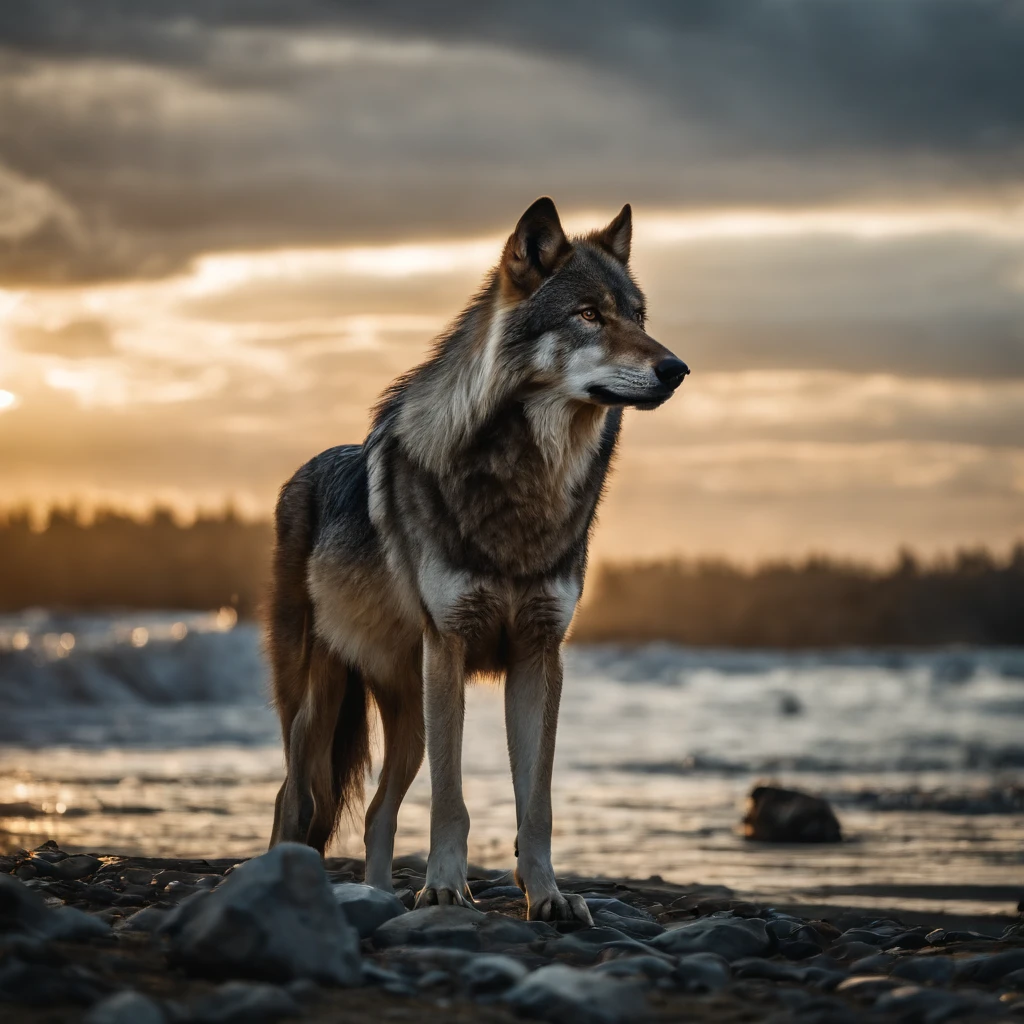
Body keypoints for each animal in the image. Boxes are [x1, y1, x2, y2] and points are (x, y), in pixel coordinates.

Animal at [270, 195, 688, 925]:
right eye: (589, 315)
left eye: (639, 317)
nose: (676, 368)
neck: (526, 488)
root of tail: (305, 470)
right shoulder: (451, 646)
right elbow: (452, 800)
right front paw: (443, 888)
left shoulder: (538, 656)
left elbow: (536, 805)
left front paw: (548, 896)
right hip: (322, 705)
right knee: (295, 800)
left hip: (409, 716)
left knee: (376, 812)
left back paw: (378, 897)